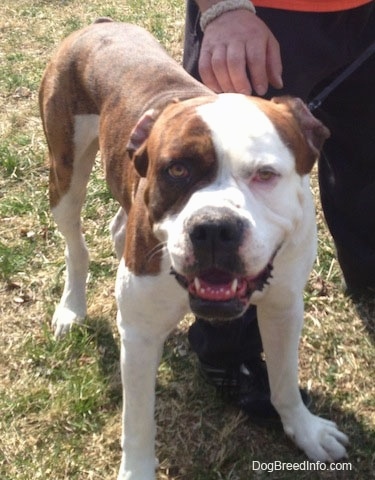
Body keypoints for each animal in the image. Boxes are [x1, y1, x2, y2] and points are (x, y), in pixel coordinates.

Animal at [39, 18, 348, 480]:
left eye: (265, 174)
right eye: (177, 170)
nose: (215, 229)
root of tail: (99, 24)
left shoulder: (284, 307)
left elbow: (284, 379)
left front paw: (305, 430)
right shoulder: (140, 336)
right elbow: (137, 422)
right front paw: (137, 470)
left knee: (118, 223)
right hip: (66, 173)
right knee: (76, 246)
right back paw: (71, 308)